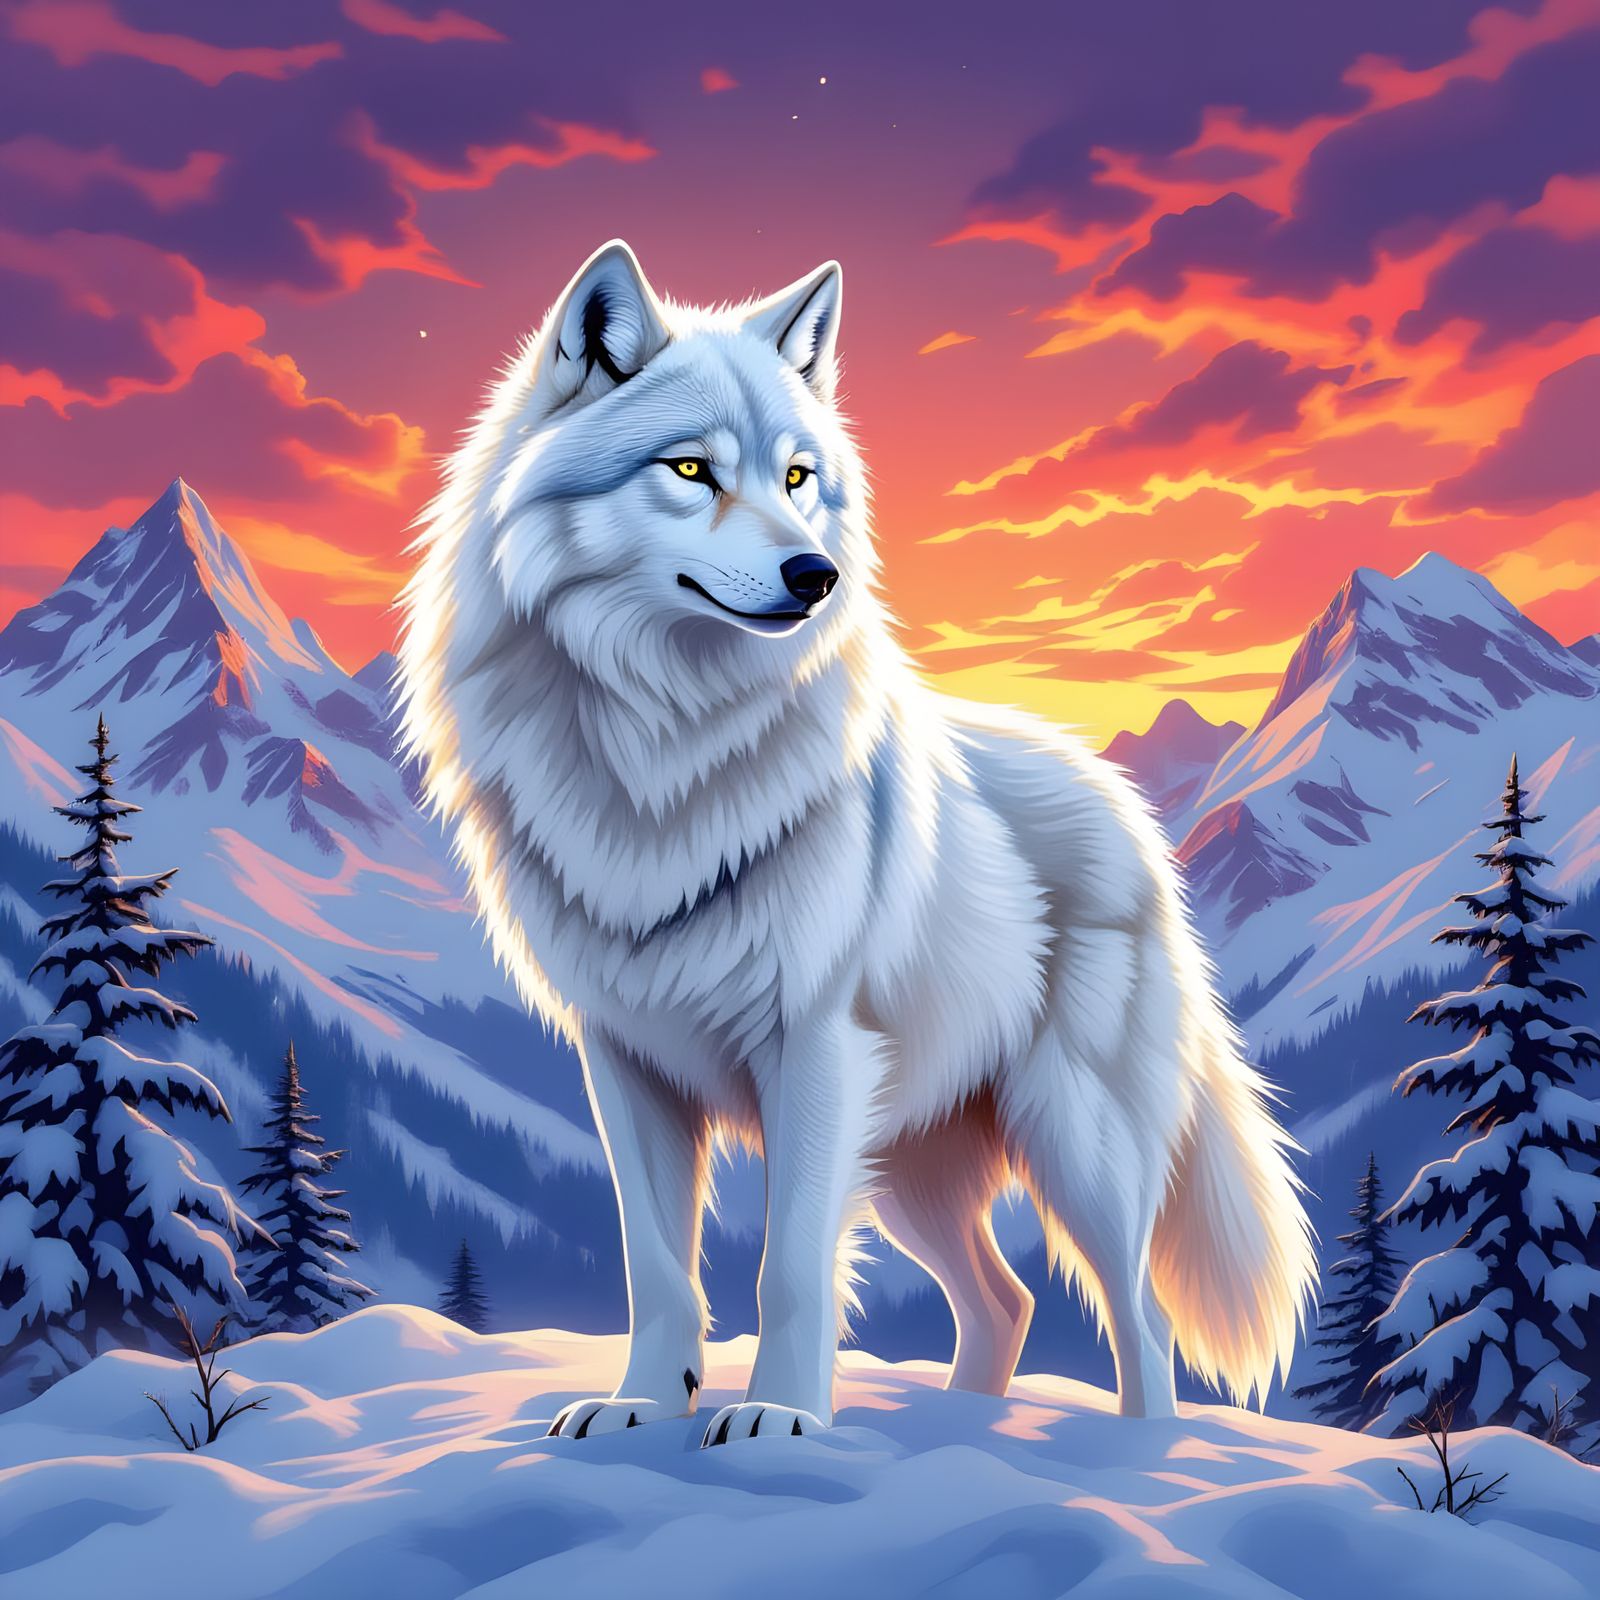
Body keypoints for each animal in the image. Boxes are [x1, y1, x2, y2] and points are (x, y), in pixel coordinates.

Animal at [397, 241, 1316, 1446]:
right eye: (690, 471)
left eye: (797, 479)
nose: (814, 576)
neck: (662, 747)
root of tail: (1127, 809)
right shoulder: (624, 1057)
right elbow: (657, 1267)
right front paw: (643, 1404)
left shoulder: (816, 1047)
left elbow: (787, 1268)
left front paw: (781, 1419)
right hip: (911, 1161)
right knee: (1007, 1302)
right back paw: (962, 1430)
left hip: (1070, 1140)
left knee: (1139, 1313)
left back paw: (1141, 1451)